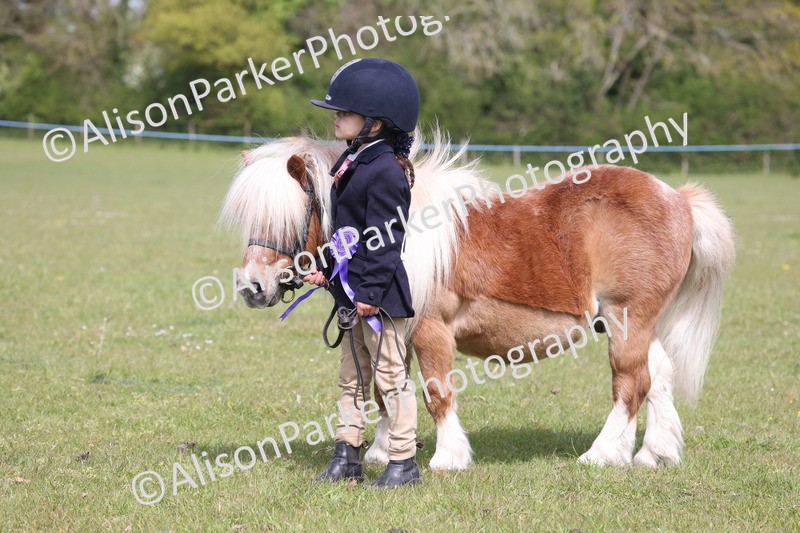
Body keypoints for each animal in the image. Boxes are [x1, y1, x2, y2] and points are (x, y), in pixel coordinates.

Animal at [218, 128, 735, 470]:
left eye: (288, 218)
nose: (252, 286)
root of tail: (677, 197)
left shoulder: (430, 332)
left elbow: (435, 392)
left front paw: (447, 459)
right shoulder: (381, 329)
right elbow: (386, 391)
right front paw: (384, 450)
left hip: (628, 317)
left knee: (631, 383)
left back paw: (603, 454)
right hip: (633, 322)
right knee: (659, 375)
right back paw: (652, 453)